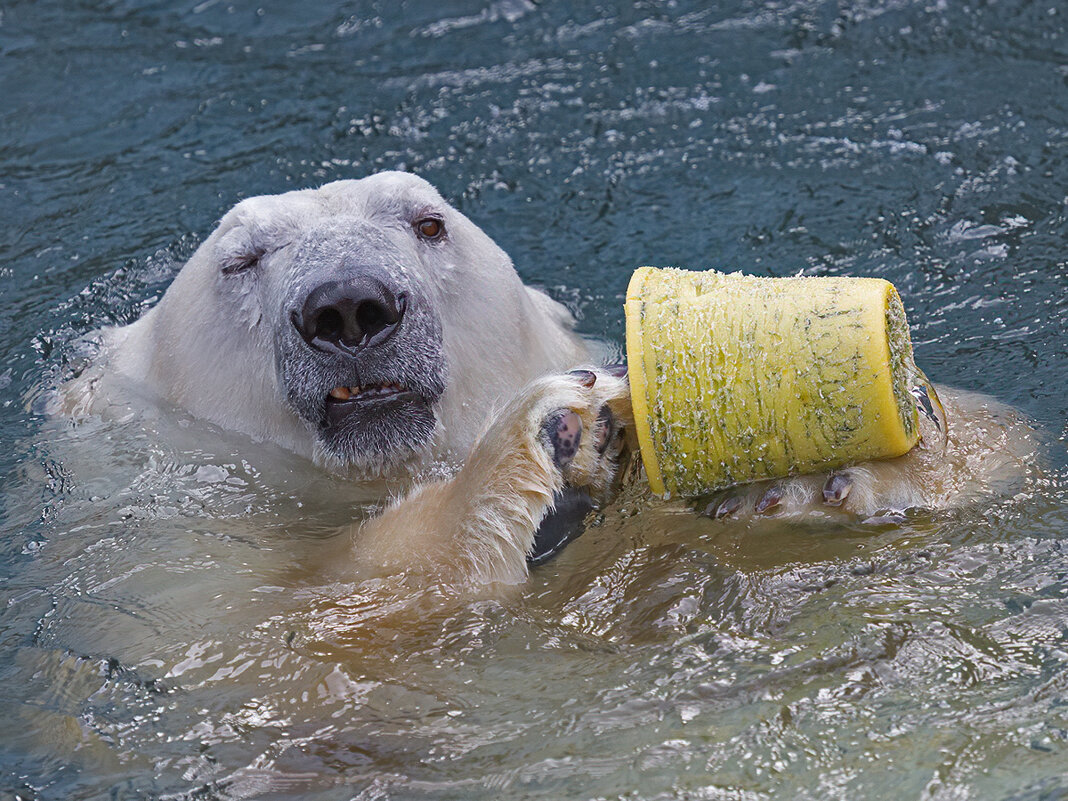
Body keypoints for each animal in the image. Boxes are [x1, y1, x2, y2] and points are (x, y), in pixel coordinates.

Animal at [73, 174, 1033, 589]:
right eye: (240, 258)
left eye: (427, 221)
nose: (350, 305)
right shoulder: (161, 551)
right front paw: (554, 426)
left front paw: (820, 476)